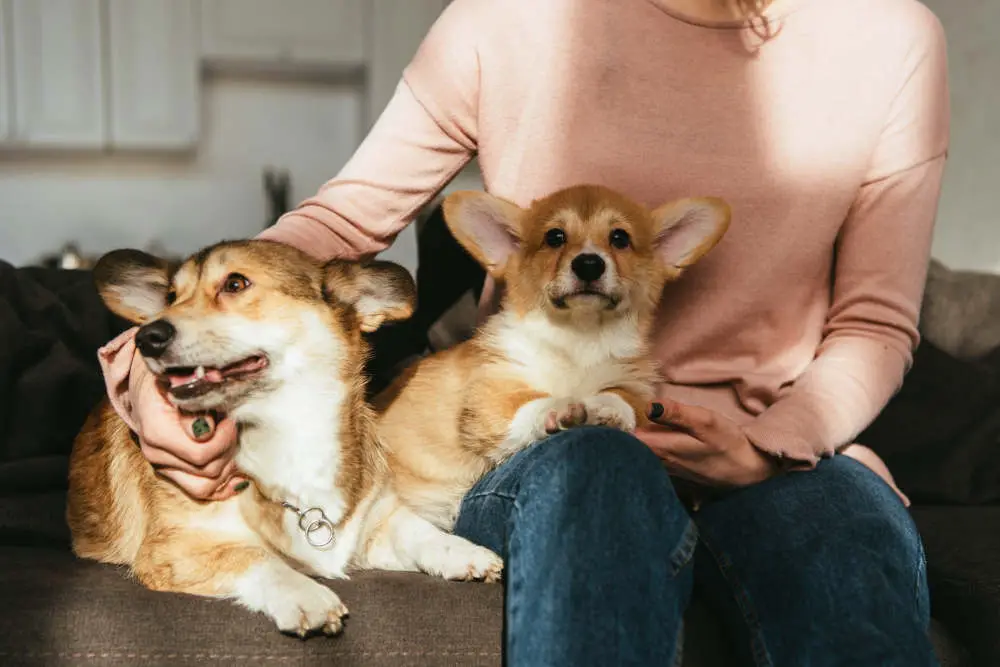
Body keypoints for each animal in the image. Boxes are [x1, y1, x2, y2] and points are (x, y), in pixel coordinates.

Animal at [70, 243, 504, 640]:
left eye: (235, 284)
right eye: (171, 297)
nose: (146, 337)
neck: (288, 433)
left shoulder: (370, 528)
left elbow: (417, 529)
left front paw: (463, 551)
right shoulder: (174, 548)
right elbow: (256, 556)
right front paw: (307, 596)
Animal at [376, 185, 736, 528]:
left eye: (620, 238)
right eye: (555, 237)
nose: (589, 264)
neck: (579, 336)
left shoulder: (635, 387)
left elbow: (622, 397)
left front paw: (606, 408)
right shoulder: (491, 395)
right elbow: (527, 404)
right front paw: (559, 408)